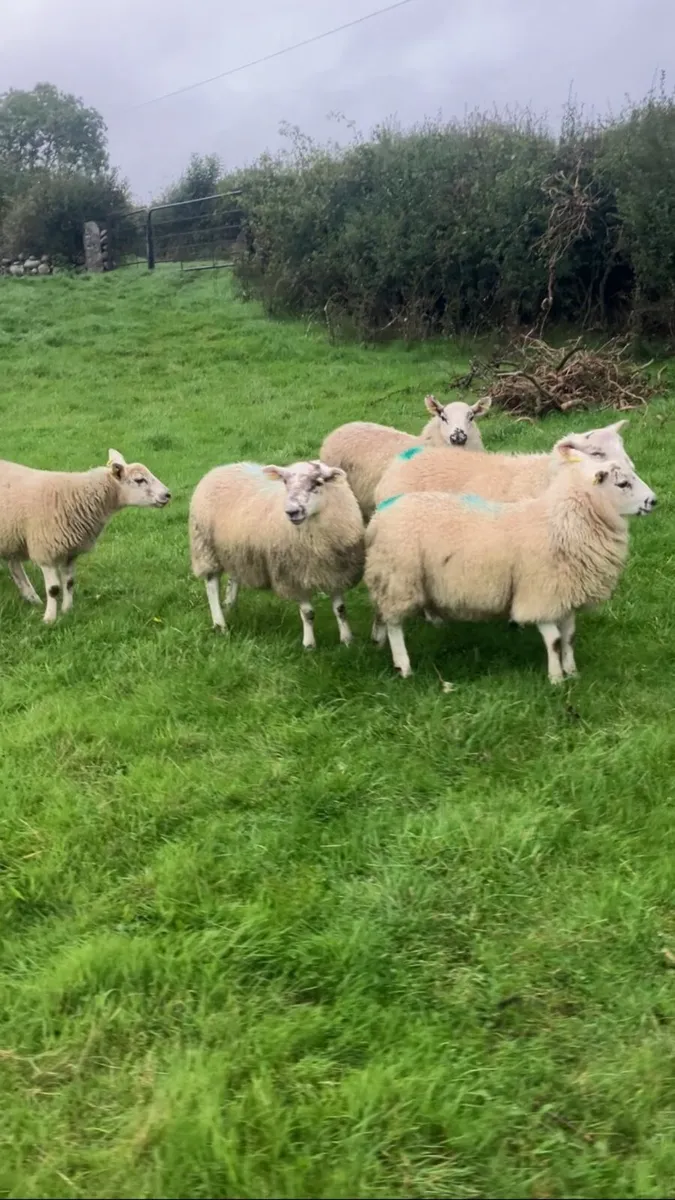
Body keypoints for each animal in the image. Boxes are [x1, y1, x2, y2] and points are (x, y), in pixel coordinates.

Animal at [0, 449, 171, 624]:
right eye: (139, 480)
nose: (167, 495)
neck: (75, 496)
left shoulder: (70, 552)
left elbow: (69, 583)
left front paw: (67, 610)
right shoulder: (45, 551)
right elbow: (53, 589)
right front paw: (49, 619)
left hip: (10, 536)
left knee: (14, 564)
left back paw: (31, 597)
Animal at [190, 459, 365, 648]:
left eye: (318, 482)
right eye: (286, 482)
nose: (292, 512)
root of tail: (222, 467)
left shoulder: (337, 571)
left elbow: (340, 609)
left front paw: (347, 640)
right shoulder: (293, 576)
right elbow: (308, 612)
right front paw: (309, 645)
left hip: (235, 550)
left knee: (234, 575)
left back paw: (230, 605)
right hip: (206, 548)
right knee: (211, 585)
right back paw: (220, 624)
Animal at [365, 445, 657, 683]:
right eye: (622, 484)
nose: (654, 501)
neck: (562, 521)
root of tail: (379, 516)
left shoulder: (564, 592)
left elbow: (569, 637)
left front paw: (572, 673)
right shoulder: (539, 593)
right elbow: (554, 640)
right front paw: (556, 679)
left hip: (391, 577)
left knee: (383, 613)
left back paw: (378, 641)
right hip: (399, 577)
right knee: (395, 624)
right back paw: (403, 666)